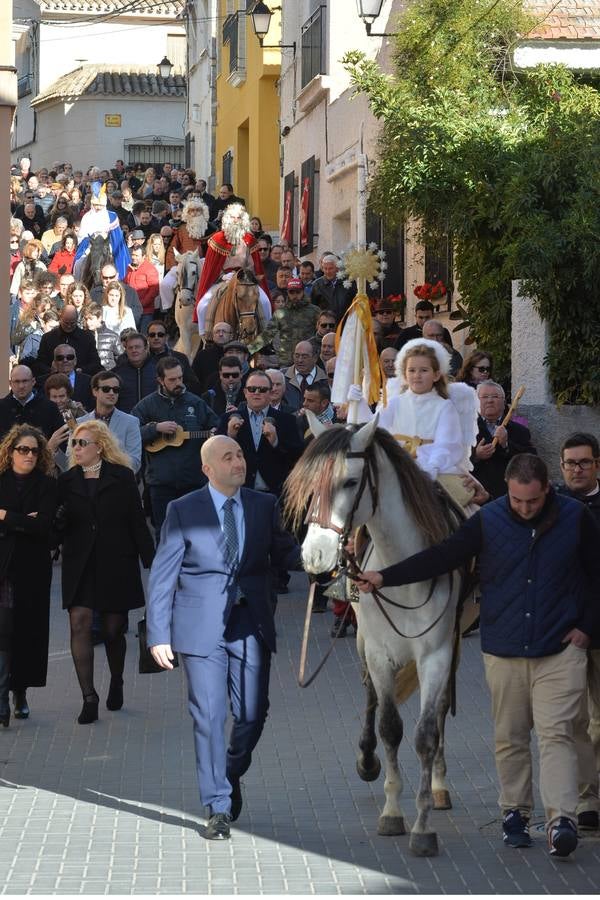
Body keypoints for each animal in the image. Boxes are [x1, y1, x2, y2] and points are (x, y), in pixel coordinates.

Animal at [284, 418, 462, 856]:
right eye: (310, 484)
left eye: (350, 482)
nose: (314, 556)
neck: (405, 572)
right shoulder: (381, 654)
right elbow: (389, 727)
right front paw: (392, 812)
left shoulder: (437, 653)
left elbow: (426, 733)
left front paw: (422, 825)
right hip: (365, 643)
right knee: (370, 698)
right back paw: (367, 760)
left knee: (440, 711)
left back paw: (439, 785)